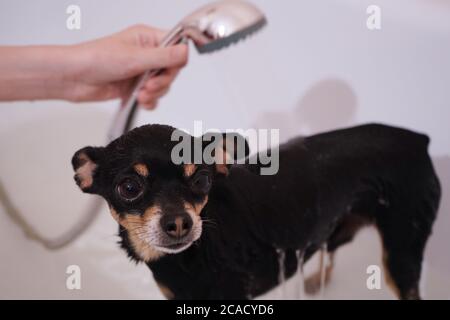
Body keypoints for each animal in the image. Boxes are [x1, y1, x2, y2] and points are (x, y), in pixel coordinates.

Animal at [72, 123, 442, 300]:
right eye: (129, 187)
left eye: (202, 179)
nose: (178, 222)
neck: (195, 255)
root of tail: (418, 139)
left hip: (402, 249)